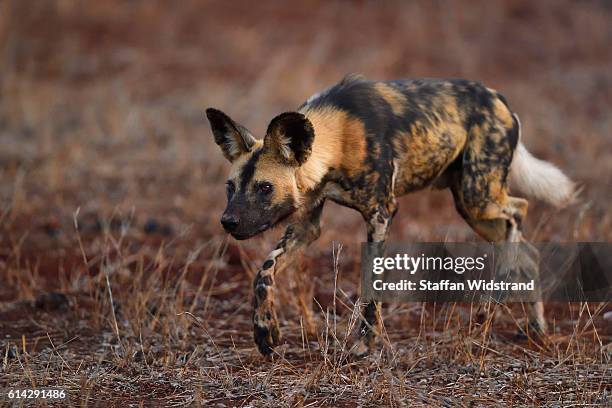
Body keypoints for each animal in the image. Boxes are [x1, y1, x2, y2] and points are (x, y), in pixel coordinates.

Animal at [206, 75, 572, 356]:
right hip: (472, 207)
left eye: (265, 187)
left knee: (518, 212)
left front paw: (365, 345)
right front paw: (265, 333)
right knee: (528, 248)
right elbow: (264, 273)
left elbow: (372, 283)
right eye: (230, 186)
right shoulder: (306, 226)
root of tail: (500, 100)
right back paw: (535, 328)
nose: (228, 222)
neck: (338, 138)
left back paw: (493, 299)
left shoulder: (381, 214)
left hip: (477, 195)